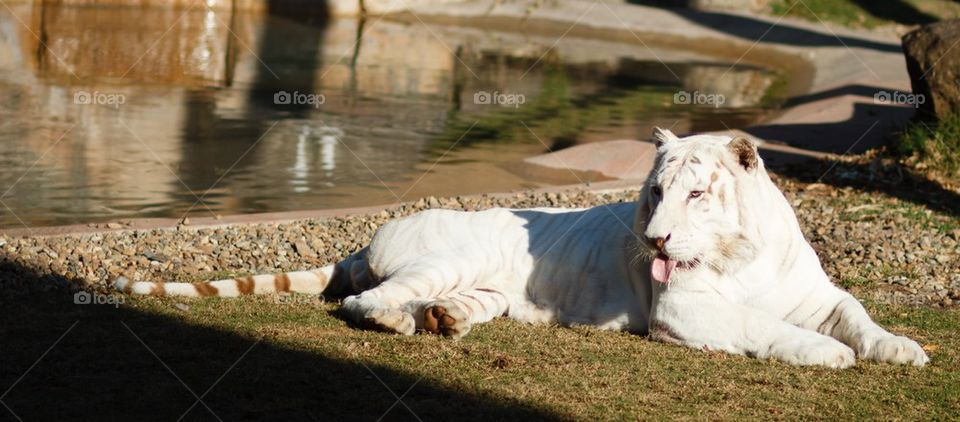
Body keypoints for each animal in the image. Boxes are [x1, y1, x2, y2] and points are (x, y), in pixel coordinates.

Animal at [114, 130, 928, 368]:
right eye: (654, 193)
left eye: (697, 194)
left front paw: (902, 348)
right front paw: (829, 356)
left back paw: (441, 321)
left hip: (487, 290)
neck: (740, 254)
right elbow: (764, 326)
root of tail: (371, 234)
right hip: (440, 258)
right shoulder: (687, 312)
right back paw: (398, 321)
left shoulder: (817, 293)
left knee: (432, 303)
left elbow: (858, 314)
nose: (656, 237)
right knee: (364, 301)